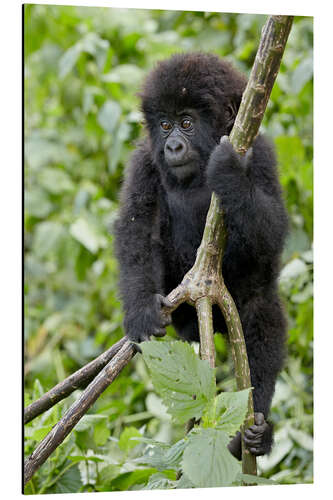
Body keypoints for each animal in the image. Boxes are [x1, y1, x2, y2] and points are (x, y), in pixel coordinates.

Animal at [113, 52, 286, 458]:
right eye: (164, 125)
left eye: (187, 123)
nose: (173, 147)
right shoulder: (144, 160)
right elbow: (136, 230)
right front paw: (141, 310)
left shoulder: (262, 153)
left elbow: (273, 233)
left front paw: (229, 173)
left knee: (262, 312)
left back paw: (255, 432)